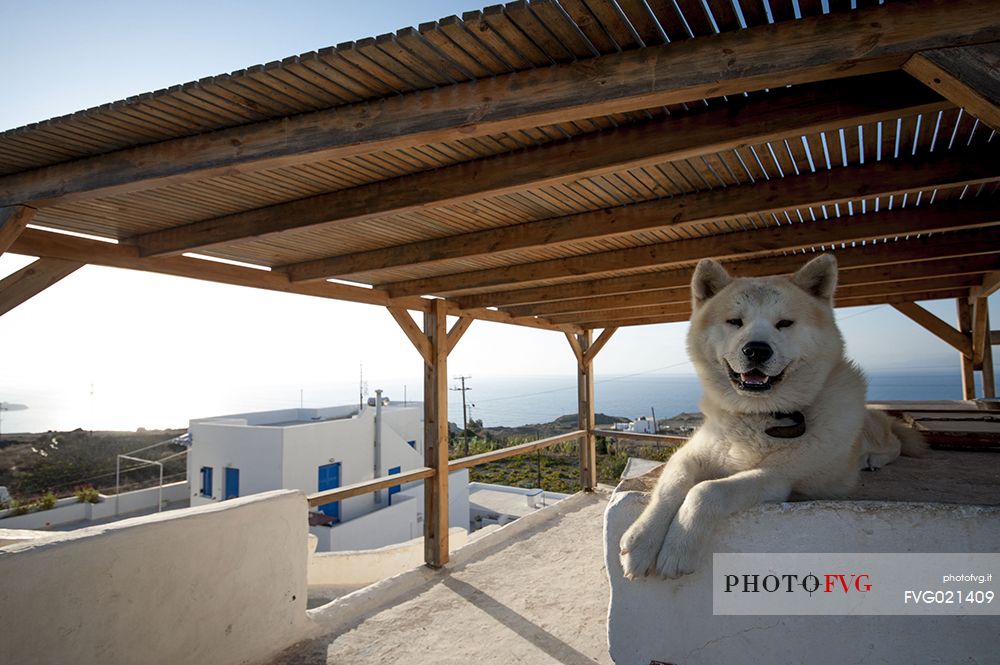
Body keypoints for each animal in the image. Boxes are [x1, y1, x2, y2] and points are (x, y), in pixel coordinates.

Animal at [620, 254, 924, 576]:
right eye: (735, 321)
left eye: (784, 323)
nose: (756, 349)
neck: (759, 415)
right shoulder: (690, 456)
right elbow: (671, 488)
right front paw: (642, 540)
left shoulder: (776, 477)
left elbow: (706, 491)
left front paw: (679, 547)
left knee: (896, 444)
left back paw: (872, 459)